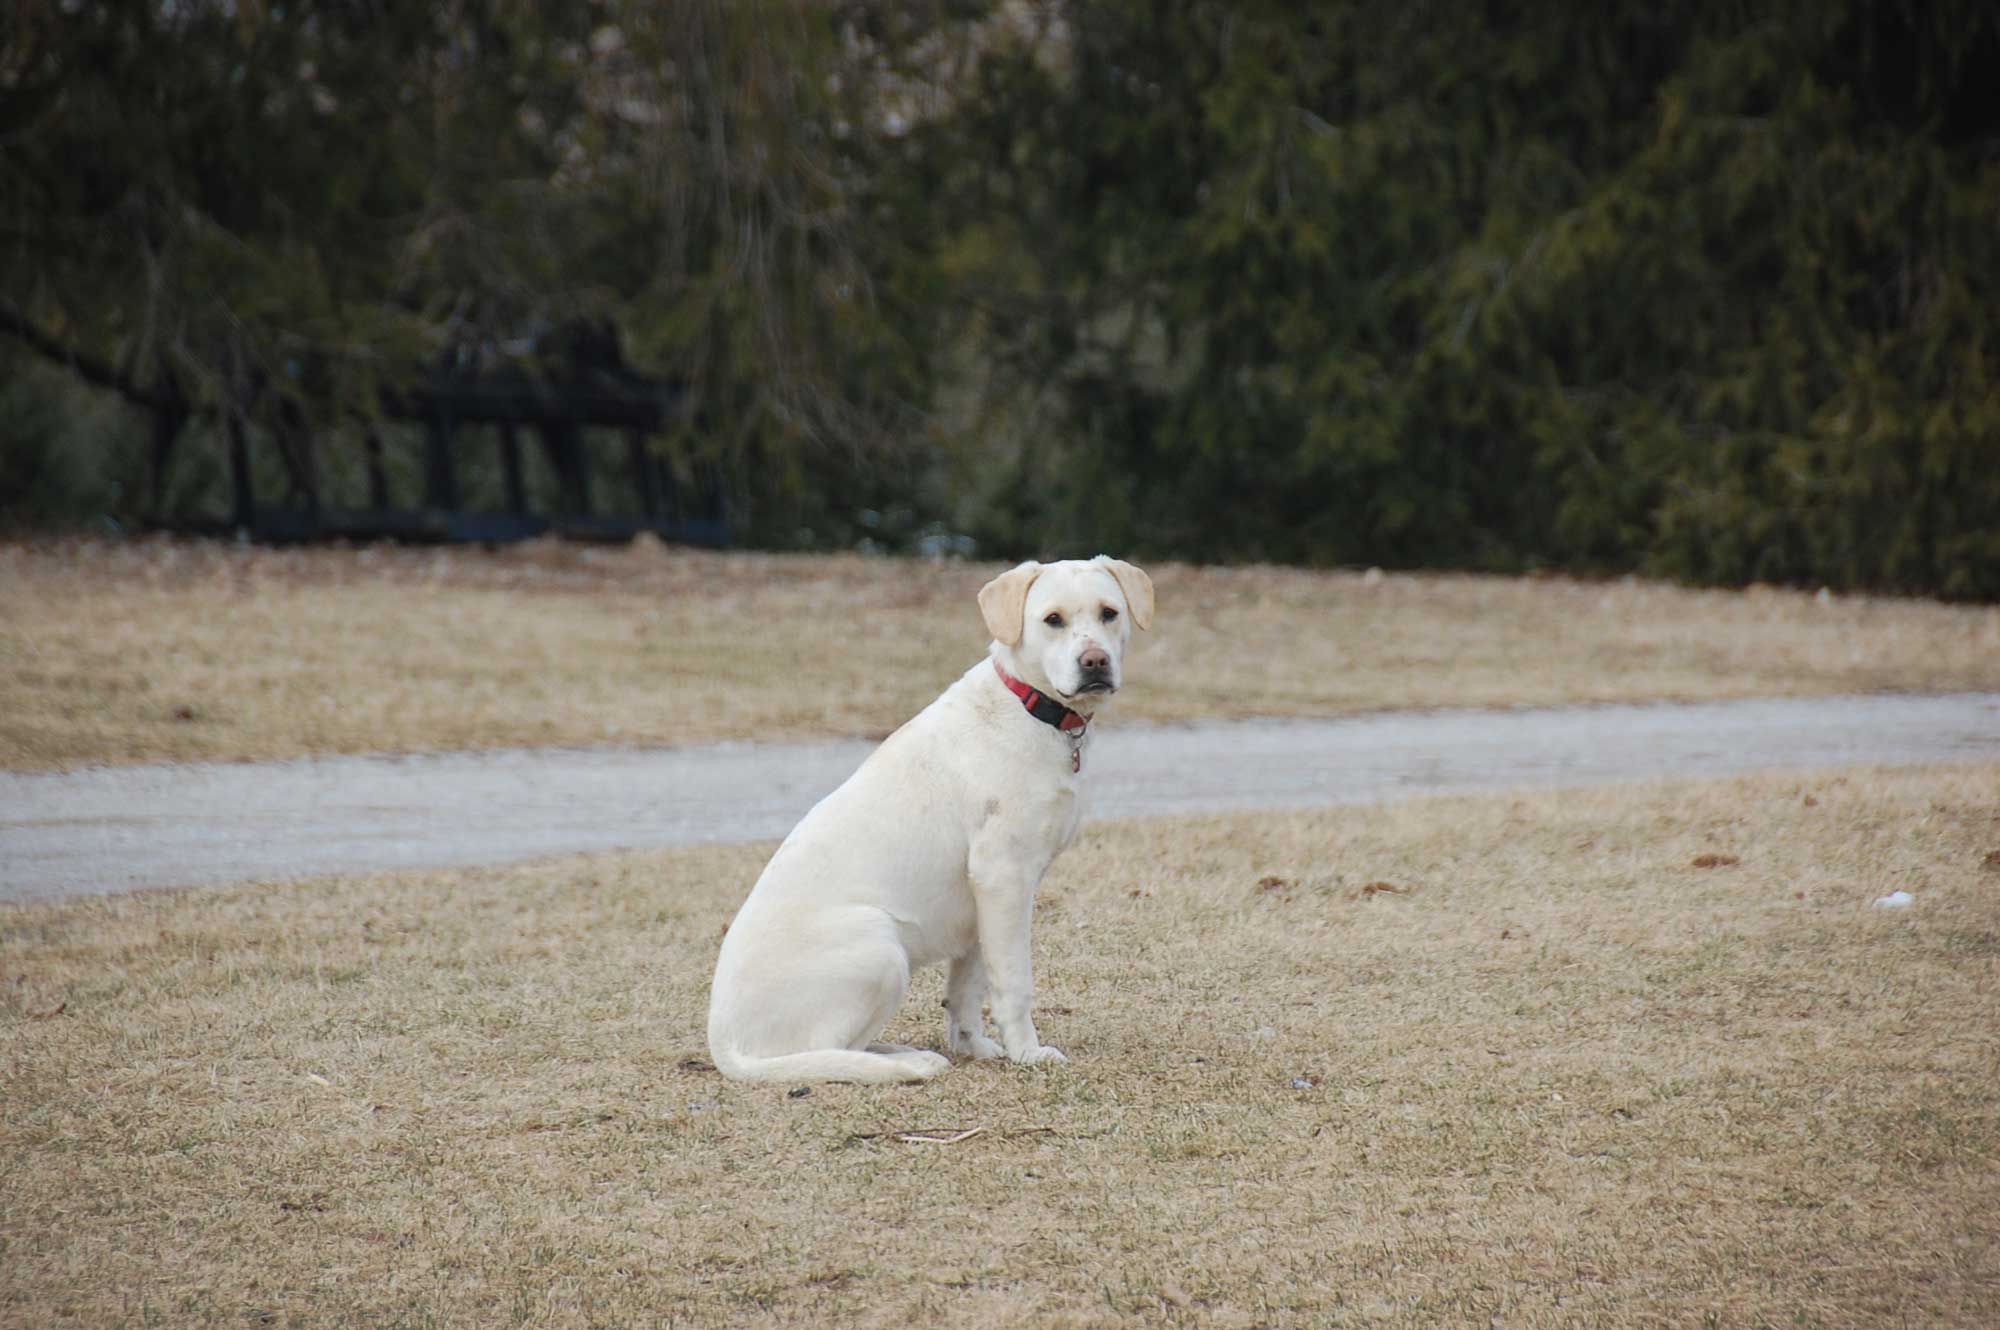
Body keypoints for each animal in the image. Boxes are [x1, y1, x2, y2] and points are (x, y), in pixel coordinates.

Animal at [708, 548, 1160, 1080]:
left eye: (1109, 613)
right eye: (1053, 620)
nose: (1095, 662)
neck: (1029, 707)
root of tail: (725, 1045)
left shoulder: (983, 902)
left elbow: (967, 989)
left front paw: (975, 1047)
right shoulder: (1004, 879)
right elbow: (1013, 982)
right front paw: (1027, 1054)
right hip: (881, 946)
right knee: (829, 1052)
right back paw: (909, 1062)